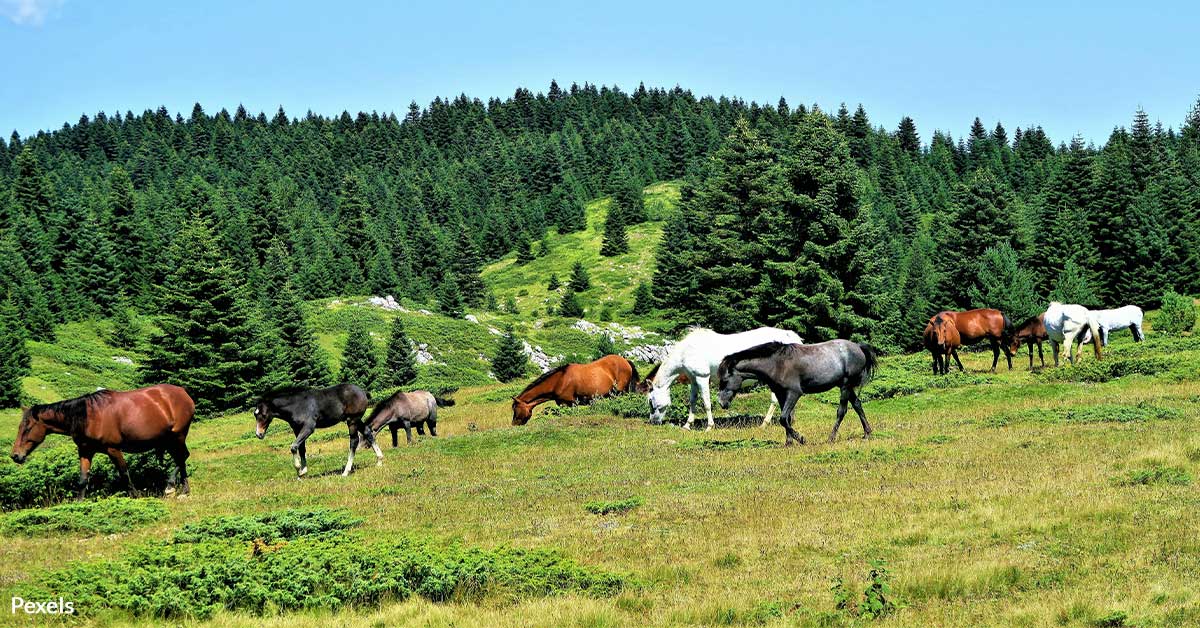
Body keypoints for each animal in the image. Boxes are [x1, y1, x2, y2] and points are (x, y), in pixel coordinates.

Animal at [9, 386, 194, 499]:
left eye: (27, 428)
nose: (15, 455)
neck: (88, 417)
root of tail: (184, 393)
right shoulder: (85, 451)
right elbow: (83, 479)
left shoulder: (113, 449)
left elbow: (124, 474)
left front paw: (135, 496)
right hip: (169, 440)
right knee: (182, 459)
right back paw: (184, 490)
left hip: (177, 436)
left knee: (182, 457)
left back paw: (171, 486)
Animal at [508, 353, 638, 427]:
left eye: (515, 409)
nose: (513, 425)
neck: (560, 380)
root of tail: (626, 361)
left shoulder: (567, 404)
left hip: (621, 392)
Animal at [643, 326, 801, 429]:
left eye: (650, 400)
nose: (654, 422)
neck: (687, 351)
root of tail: (791, 337)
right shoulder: (694, 380)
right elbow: (692, 401)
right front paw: (687, 425)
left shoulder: (702, 378)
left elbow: (706, 403)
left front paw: (709, 426)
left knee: (774, 400)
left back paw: (764, 424)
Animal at [715, 338, 878, 446]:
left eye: (724, 380)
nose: (721, 403)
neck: (776, 363)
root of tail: (858, 346)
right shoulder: (781, 394)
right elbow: (786, 418)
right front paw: (789, 442)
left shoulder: (794, 393)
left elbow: (783, 418)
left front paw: (801, 439)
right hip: (847, 387)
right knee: (857, 405)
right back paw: (867, 433)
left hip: (845, 386)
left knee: (841, 411)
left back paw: (831, 438)